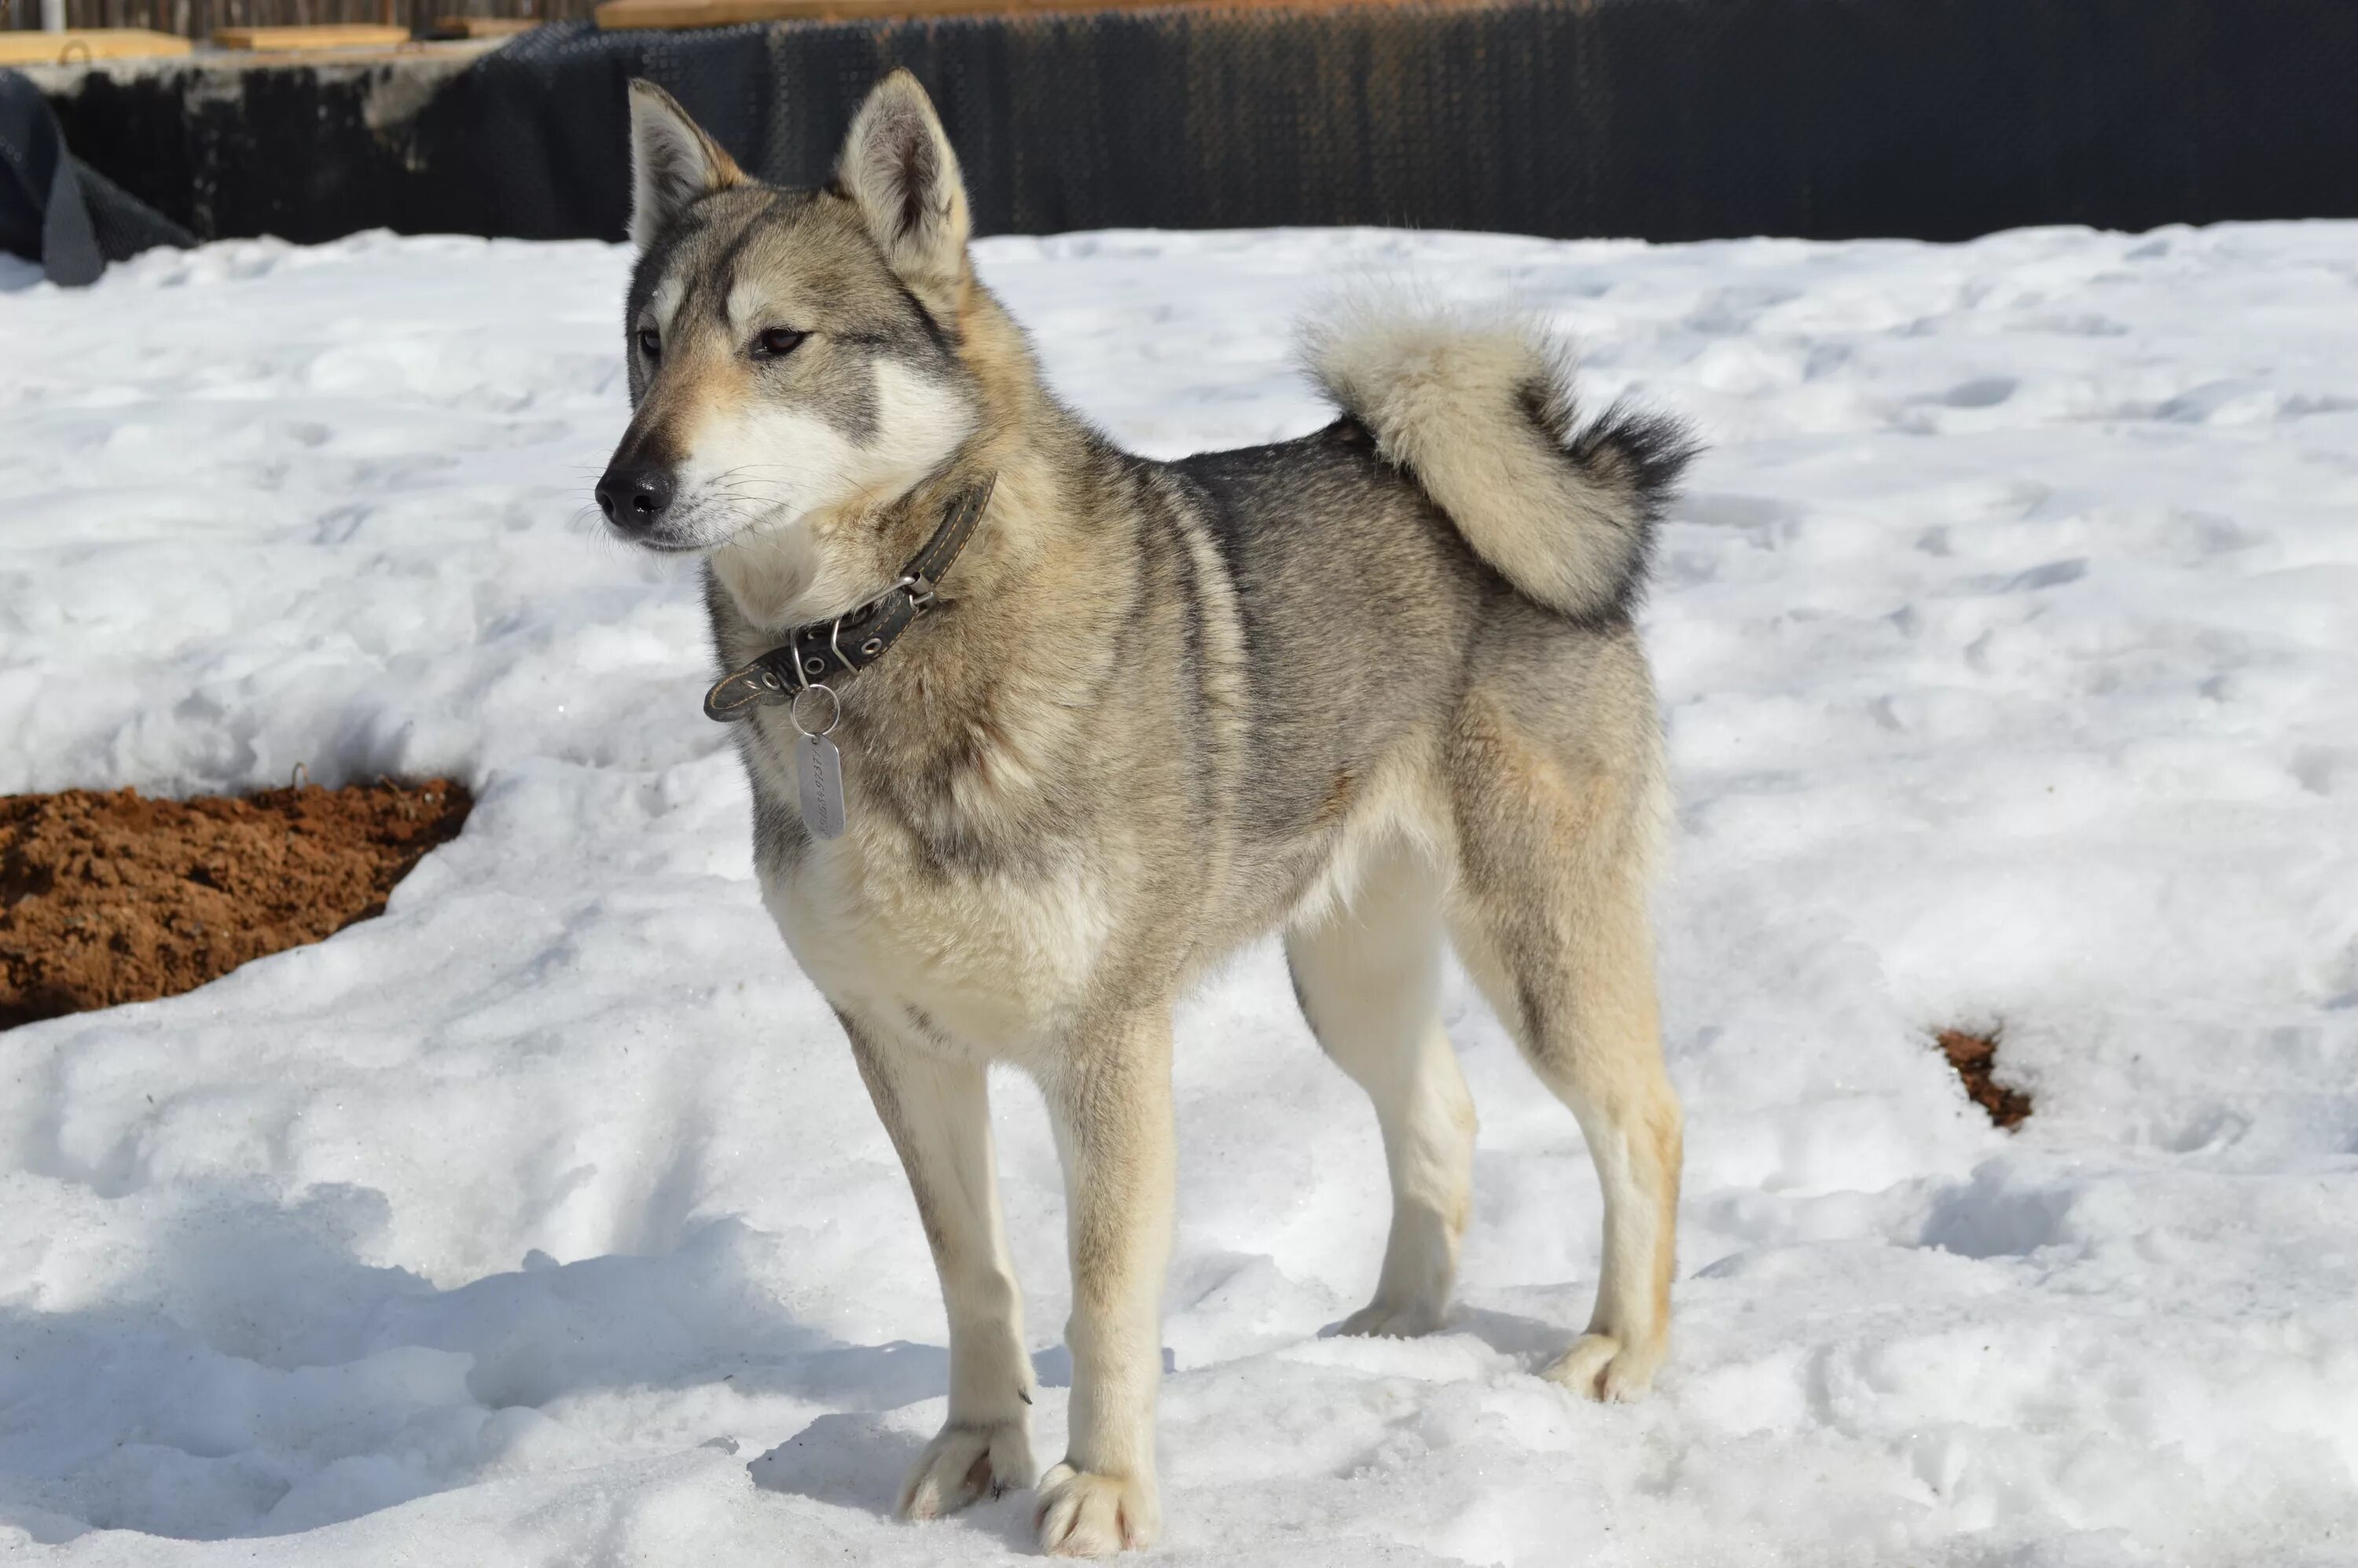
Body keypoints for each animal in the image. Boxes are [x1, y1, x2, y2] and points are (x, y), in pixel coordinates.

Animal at [594, 73, 1698, 1556]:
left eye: (778, 342)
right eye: (647, 347)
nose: (625, 489)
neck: (879, 637)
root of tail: (1549, 481)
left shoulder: (1104, 1044)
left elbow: (1104, 1288)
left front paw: (1105, 1488)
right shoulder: (899, 1044)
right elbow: (973, 1271)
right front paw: (979, 1449)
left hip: (1538, 946)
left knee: (1644, 1122)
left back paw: (1620, 1349)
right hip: (1345, 972)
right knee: (1443, 1119)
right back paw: (1394, 1330)